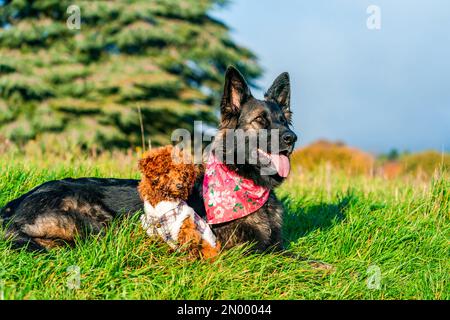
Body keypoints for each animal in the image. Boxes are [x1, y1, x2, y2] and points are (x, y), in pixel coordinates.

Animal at [0, 66, 298, 254]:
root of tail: (15, 204)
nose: (291, 138)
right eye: (260, 120)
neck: (243, 180)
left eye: (283, 121)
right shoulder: (246, 252)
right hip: (93, 223)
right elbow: (299, 260)